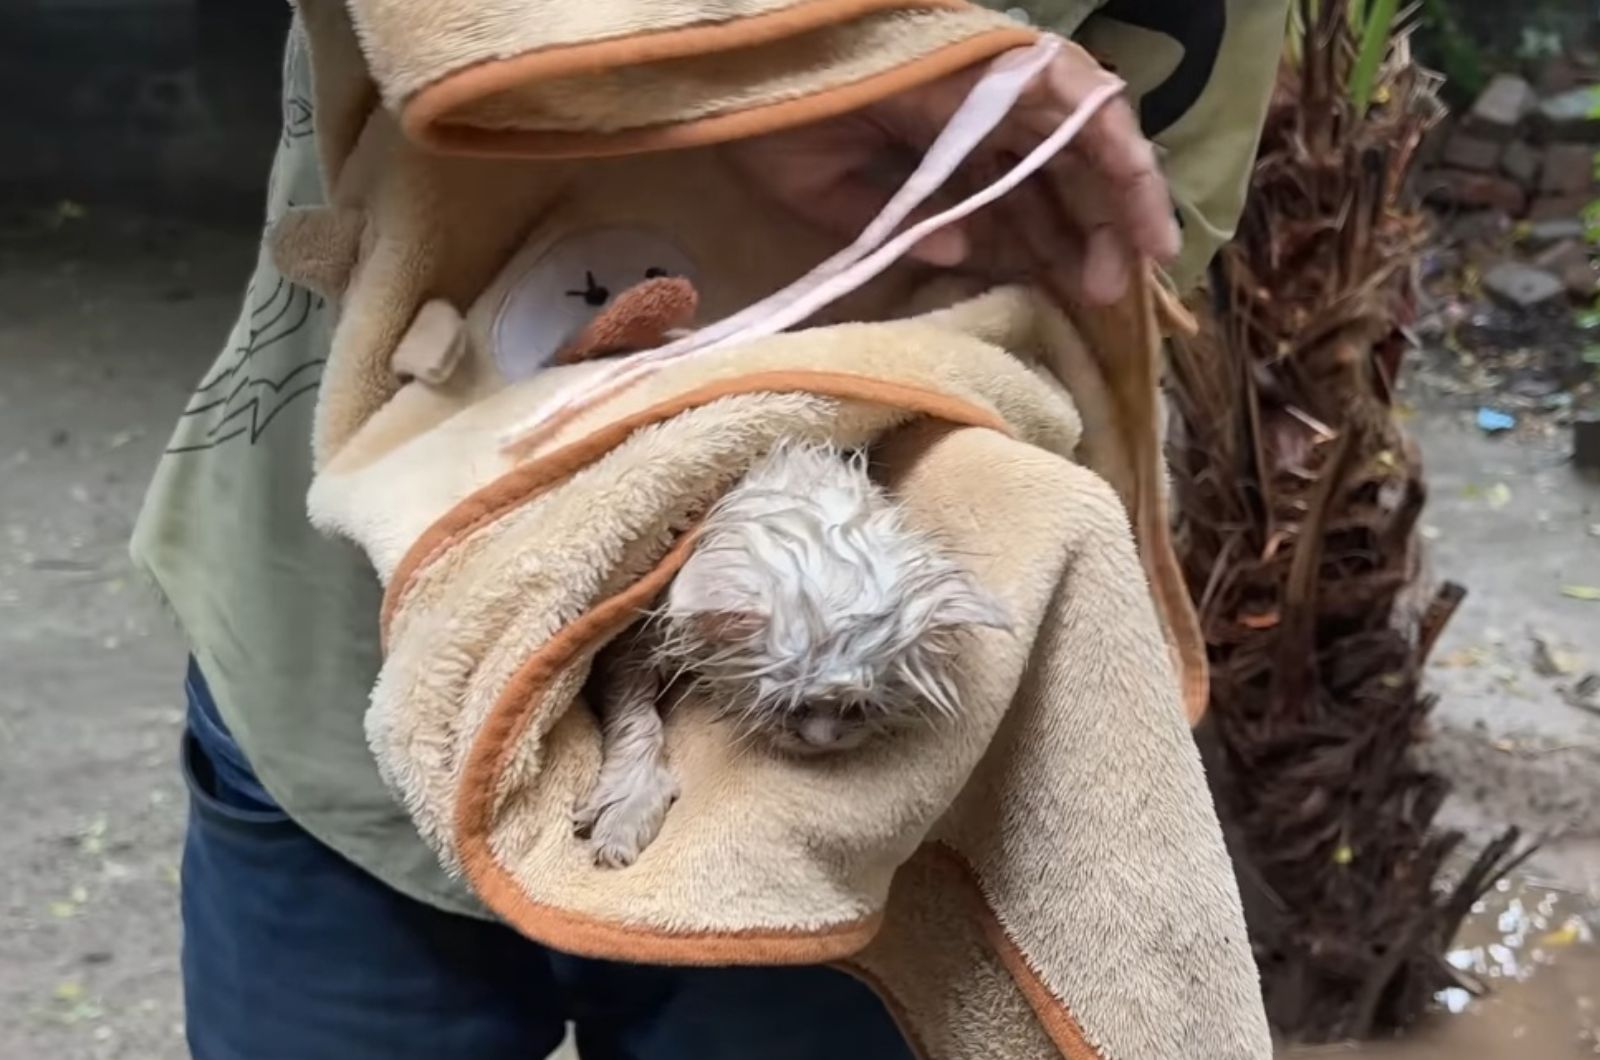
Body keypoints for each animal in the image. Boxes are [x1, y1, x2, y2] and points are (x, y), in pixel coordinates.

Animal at [569, 445, 1004, 871]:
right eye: (788, 703)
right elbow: (636, 718)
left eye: (858, 706)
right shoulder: (635, 636)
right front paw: (629, 805)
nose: (821, 741)